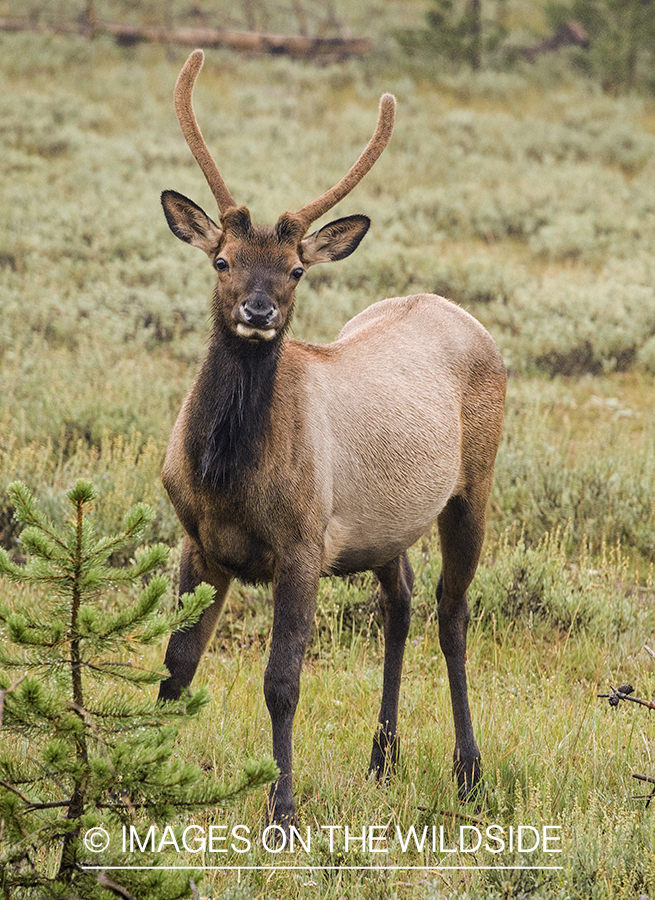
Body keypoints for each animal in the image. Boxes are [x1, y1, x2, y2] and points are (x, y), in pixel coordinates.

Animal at [158, 47, 508, 824]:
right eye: (222, 259)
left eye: (294, 270)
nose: (258, 311)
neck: (224, 478)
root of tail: (459, 312)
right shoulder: (198, 539)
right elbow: (176, 665)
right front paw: (137, 781)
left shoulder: (301, 544)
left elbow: (281, 682)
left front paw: (281, 813)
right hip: (384, 527)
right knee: (400, 602)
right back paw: (382, 759)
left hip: (473, 485)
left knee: (452, 613)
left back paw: (468, 771)